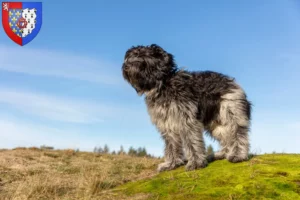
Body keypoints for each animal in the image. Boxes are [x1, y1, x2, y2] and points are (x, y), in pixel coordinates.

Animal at [122, 44, 251, 172]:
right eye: (129, 57)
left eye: (141, 56)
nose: (126, 66)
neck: (163, 85)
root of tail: (232, 82)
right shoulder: (166, 122)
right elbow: (171, 145)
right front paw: (171, 164)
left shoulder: (187, 119)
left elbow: (191, 141)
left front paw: (196, 163)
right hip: (216, 124)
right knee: (226, 137)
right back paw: (222, 154)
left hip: (231, 111)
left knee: (237, 133)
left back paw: (238, 155)